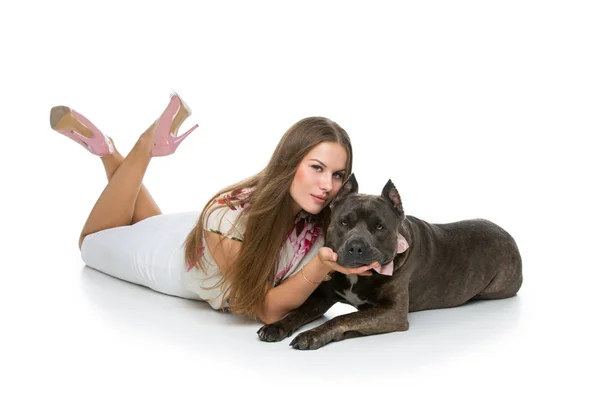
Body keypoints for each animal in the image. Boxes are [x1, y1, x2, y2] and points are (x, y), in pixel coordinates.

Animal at [256, 173, 520, 348]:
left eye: (380, 227)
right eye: (344, 222)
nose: (356, 246)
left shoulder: (393, 312)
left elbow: (345, 318)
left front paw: (312, 335)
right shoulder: (321, 297)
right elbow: (297, 311)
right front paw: (277, 326)